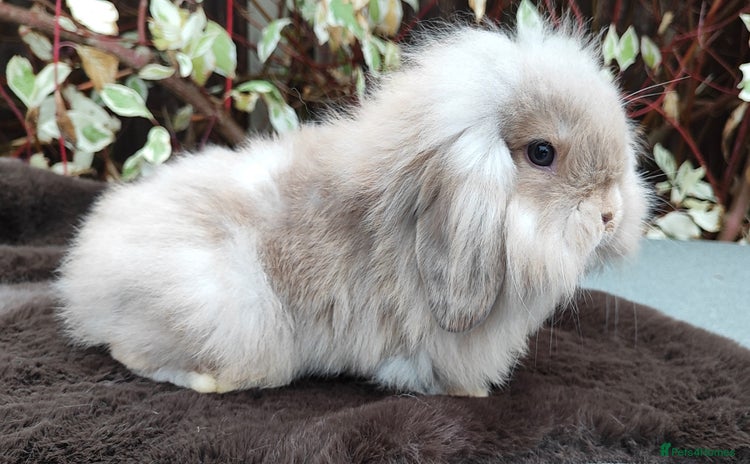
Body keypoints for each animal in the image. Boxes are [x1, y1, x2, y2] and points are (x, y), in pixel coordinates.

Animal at [55, 20, 650, 397]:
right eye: (542, 153)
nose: (610, 215)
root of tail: (82, 277)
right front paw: (473, 395)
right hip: (233, 314)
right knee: (133, 354)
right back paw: (210, 381)